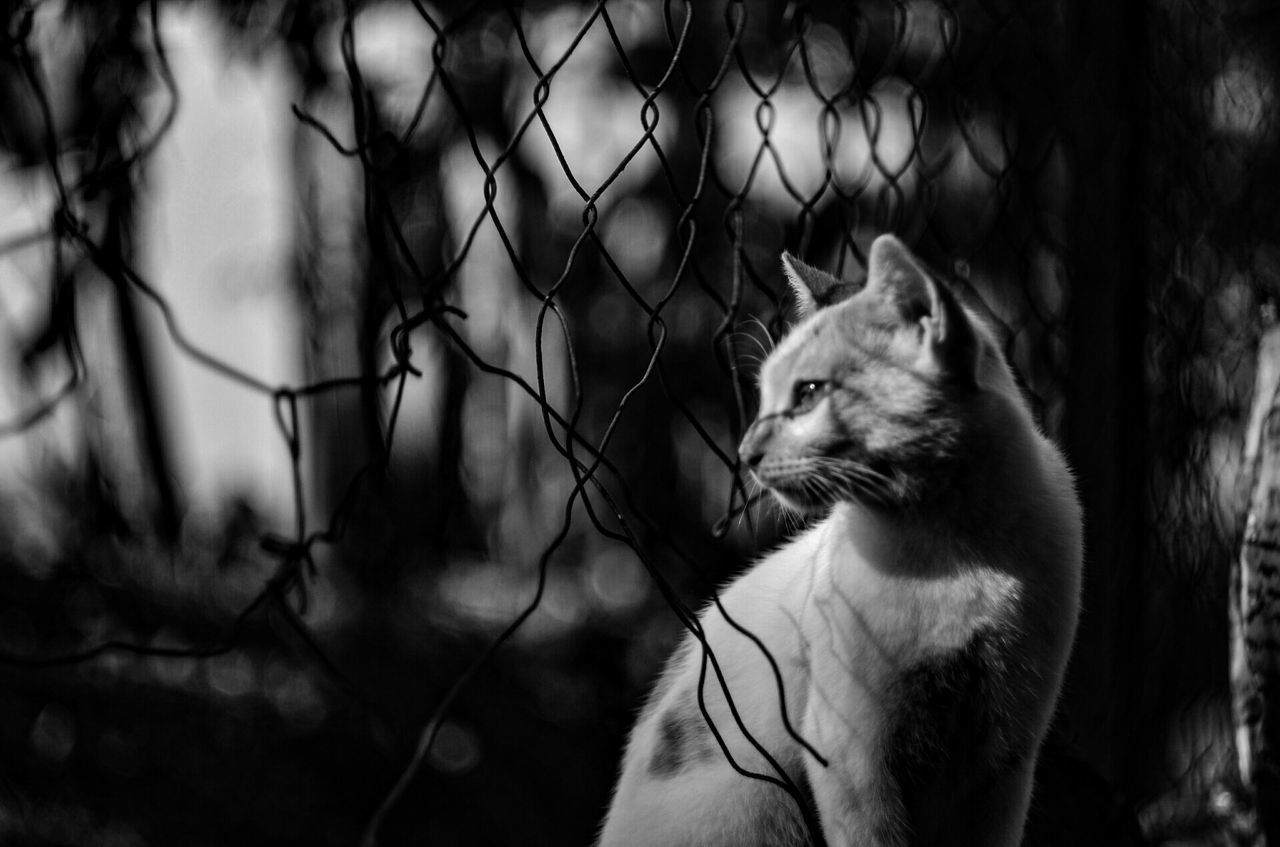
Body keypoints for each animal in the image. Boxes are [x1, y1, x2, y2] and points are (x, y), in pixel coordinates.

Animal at [596, 234, 1080, 847]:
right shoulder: (850, 757)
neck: (952, 545)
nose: (745, 453)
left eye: (807, 393)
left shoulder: (1004, 757)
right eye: (763, 397)